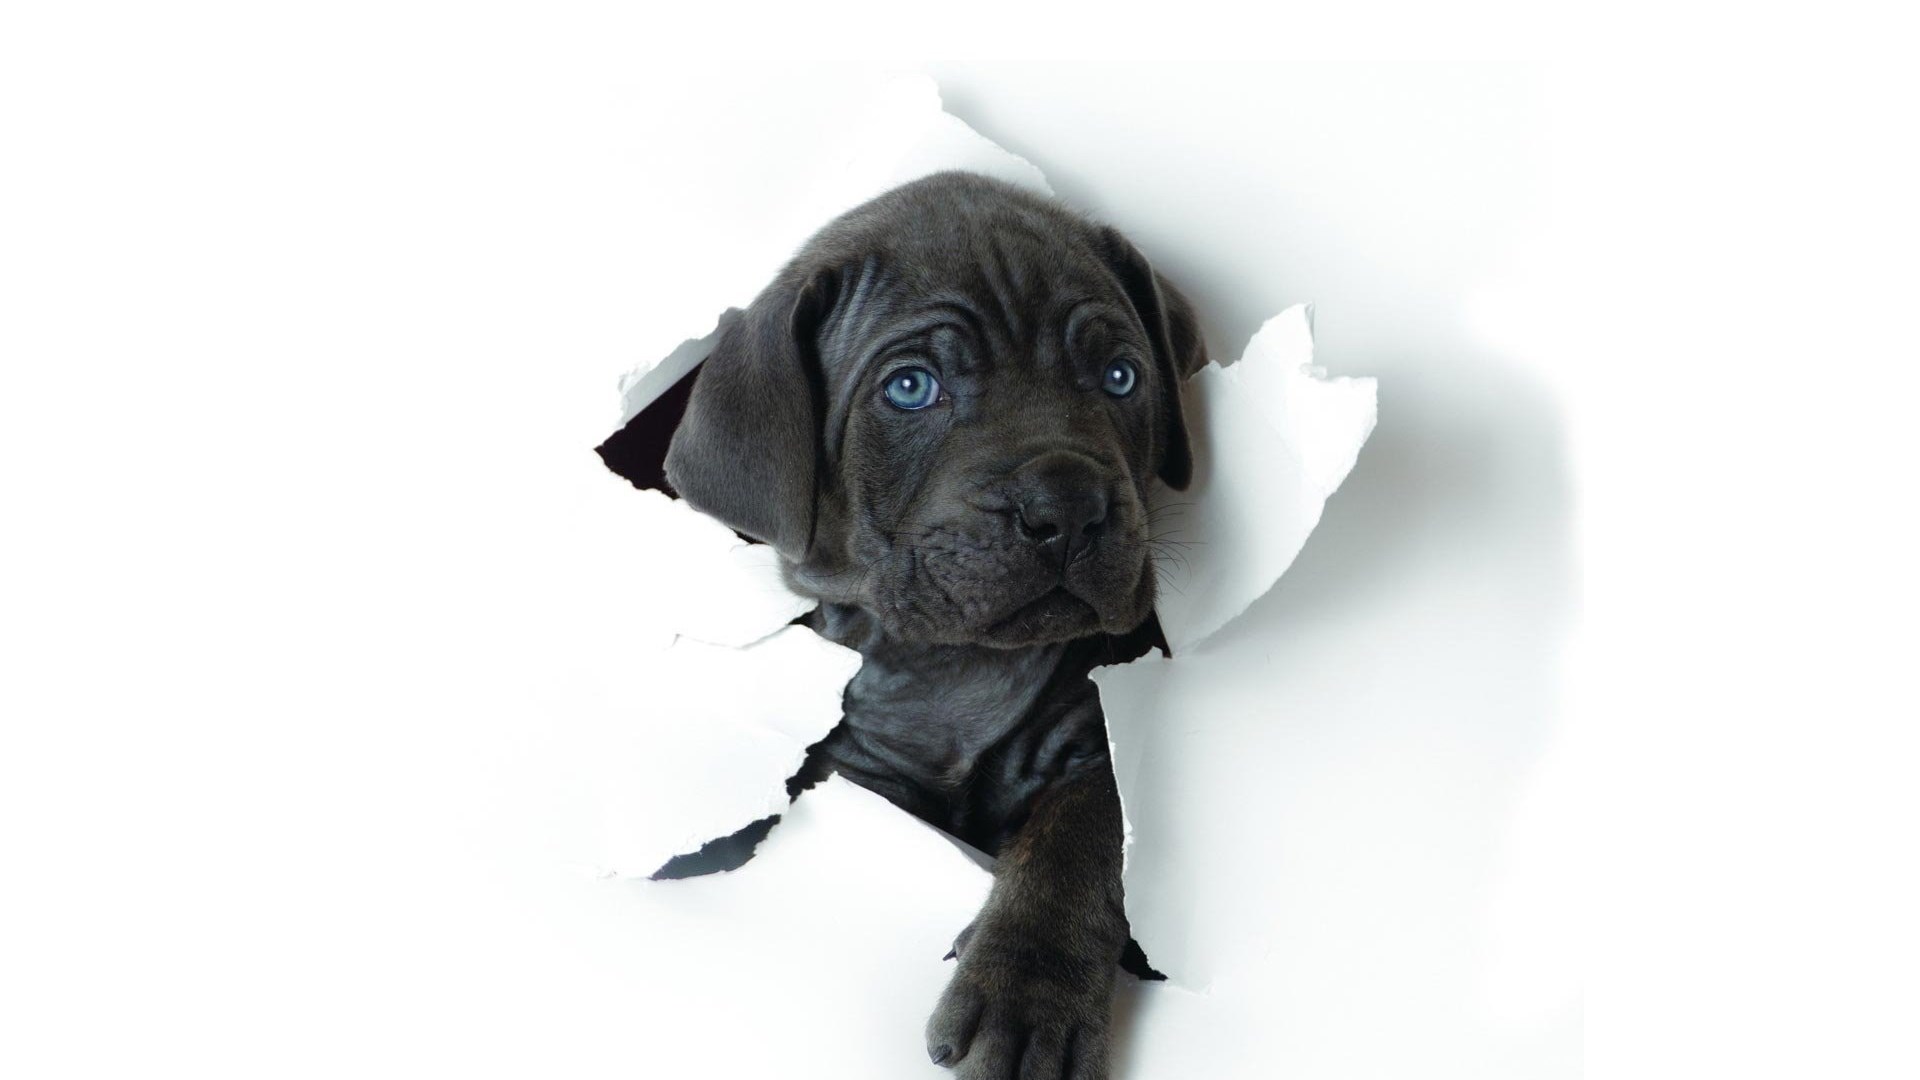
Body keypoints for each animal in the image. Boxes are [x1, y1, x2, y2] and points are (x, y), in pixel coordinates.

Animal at [642, 170, 1206, 1079]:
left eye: (1122, 377)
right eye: (910, 388)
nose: (1067, 503)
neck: (952, 666)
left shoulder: (1097, 731)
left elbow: (1087, 833)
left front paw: (1028, 995)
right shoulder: (850, 770)